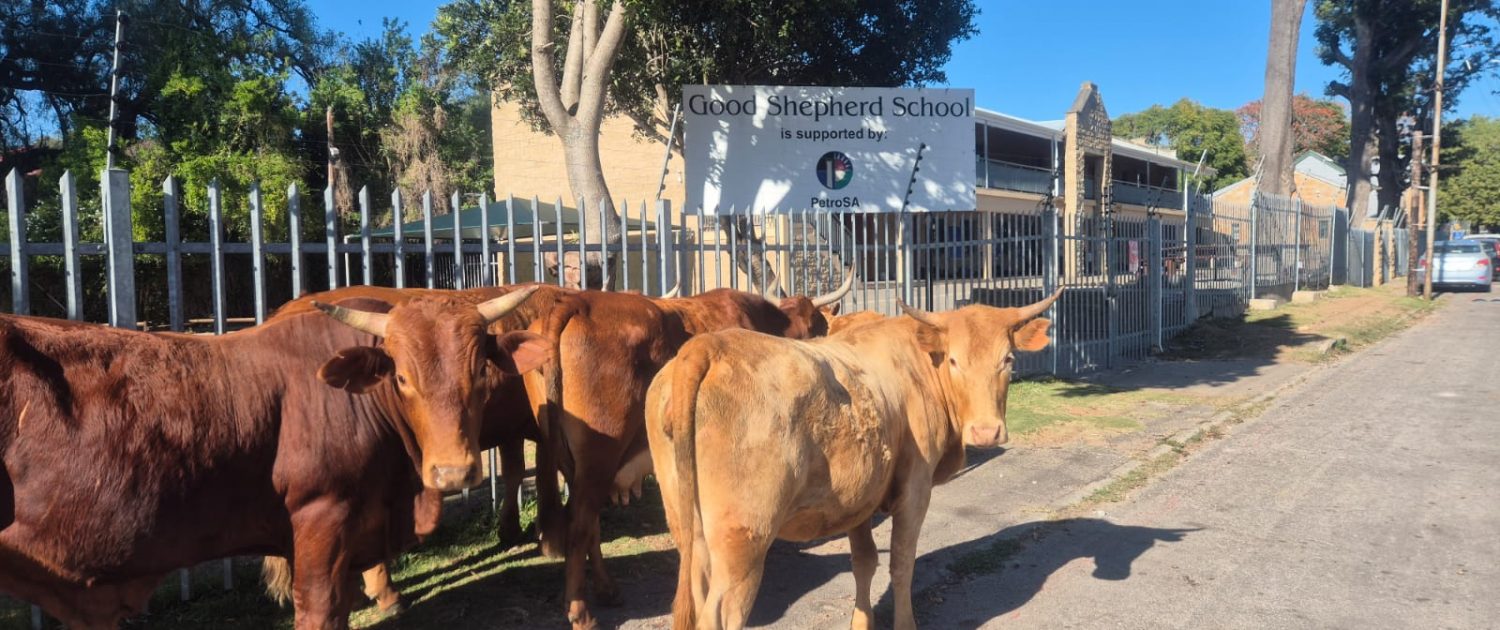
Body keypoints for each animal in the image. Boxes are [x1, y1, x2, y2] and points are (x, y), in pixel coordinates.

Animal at [645, 289, 1062, 630]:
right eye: (955, 361)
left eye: (1008, 359)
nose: (986, 432)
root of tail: (709, 346)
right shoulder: (915, 488)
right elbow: (902, 561)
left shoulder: (860, 496)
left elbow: (865, 563)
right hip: (745, 537)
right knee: (722, 612)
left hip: (690, 528)